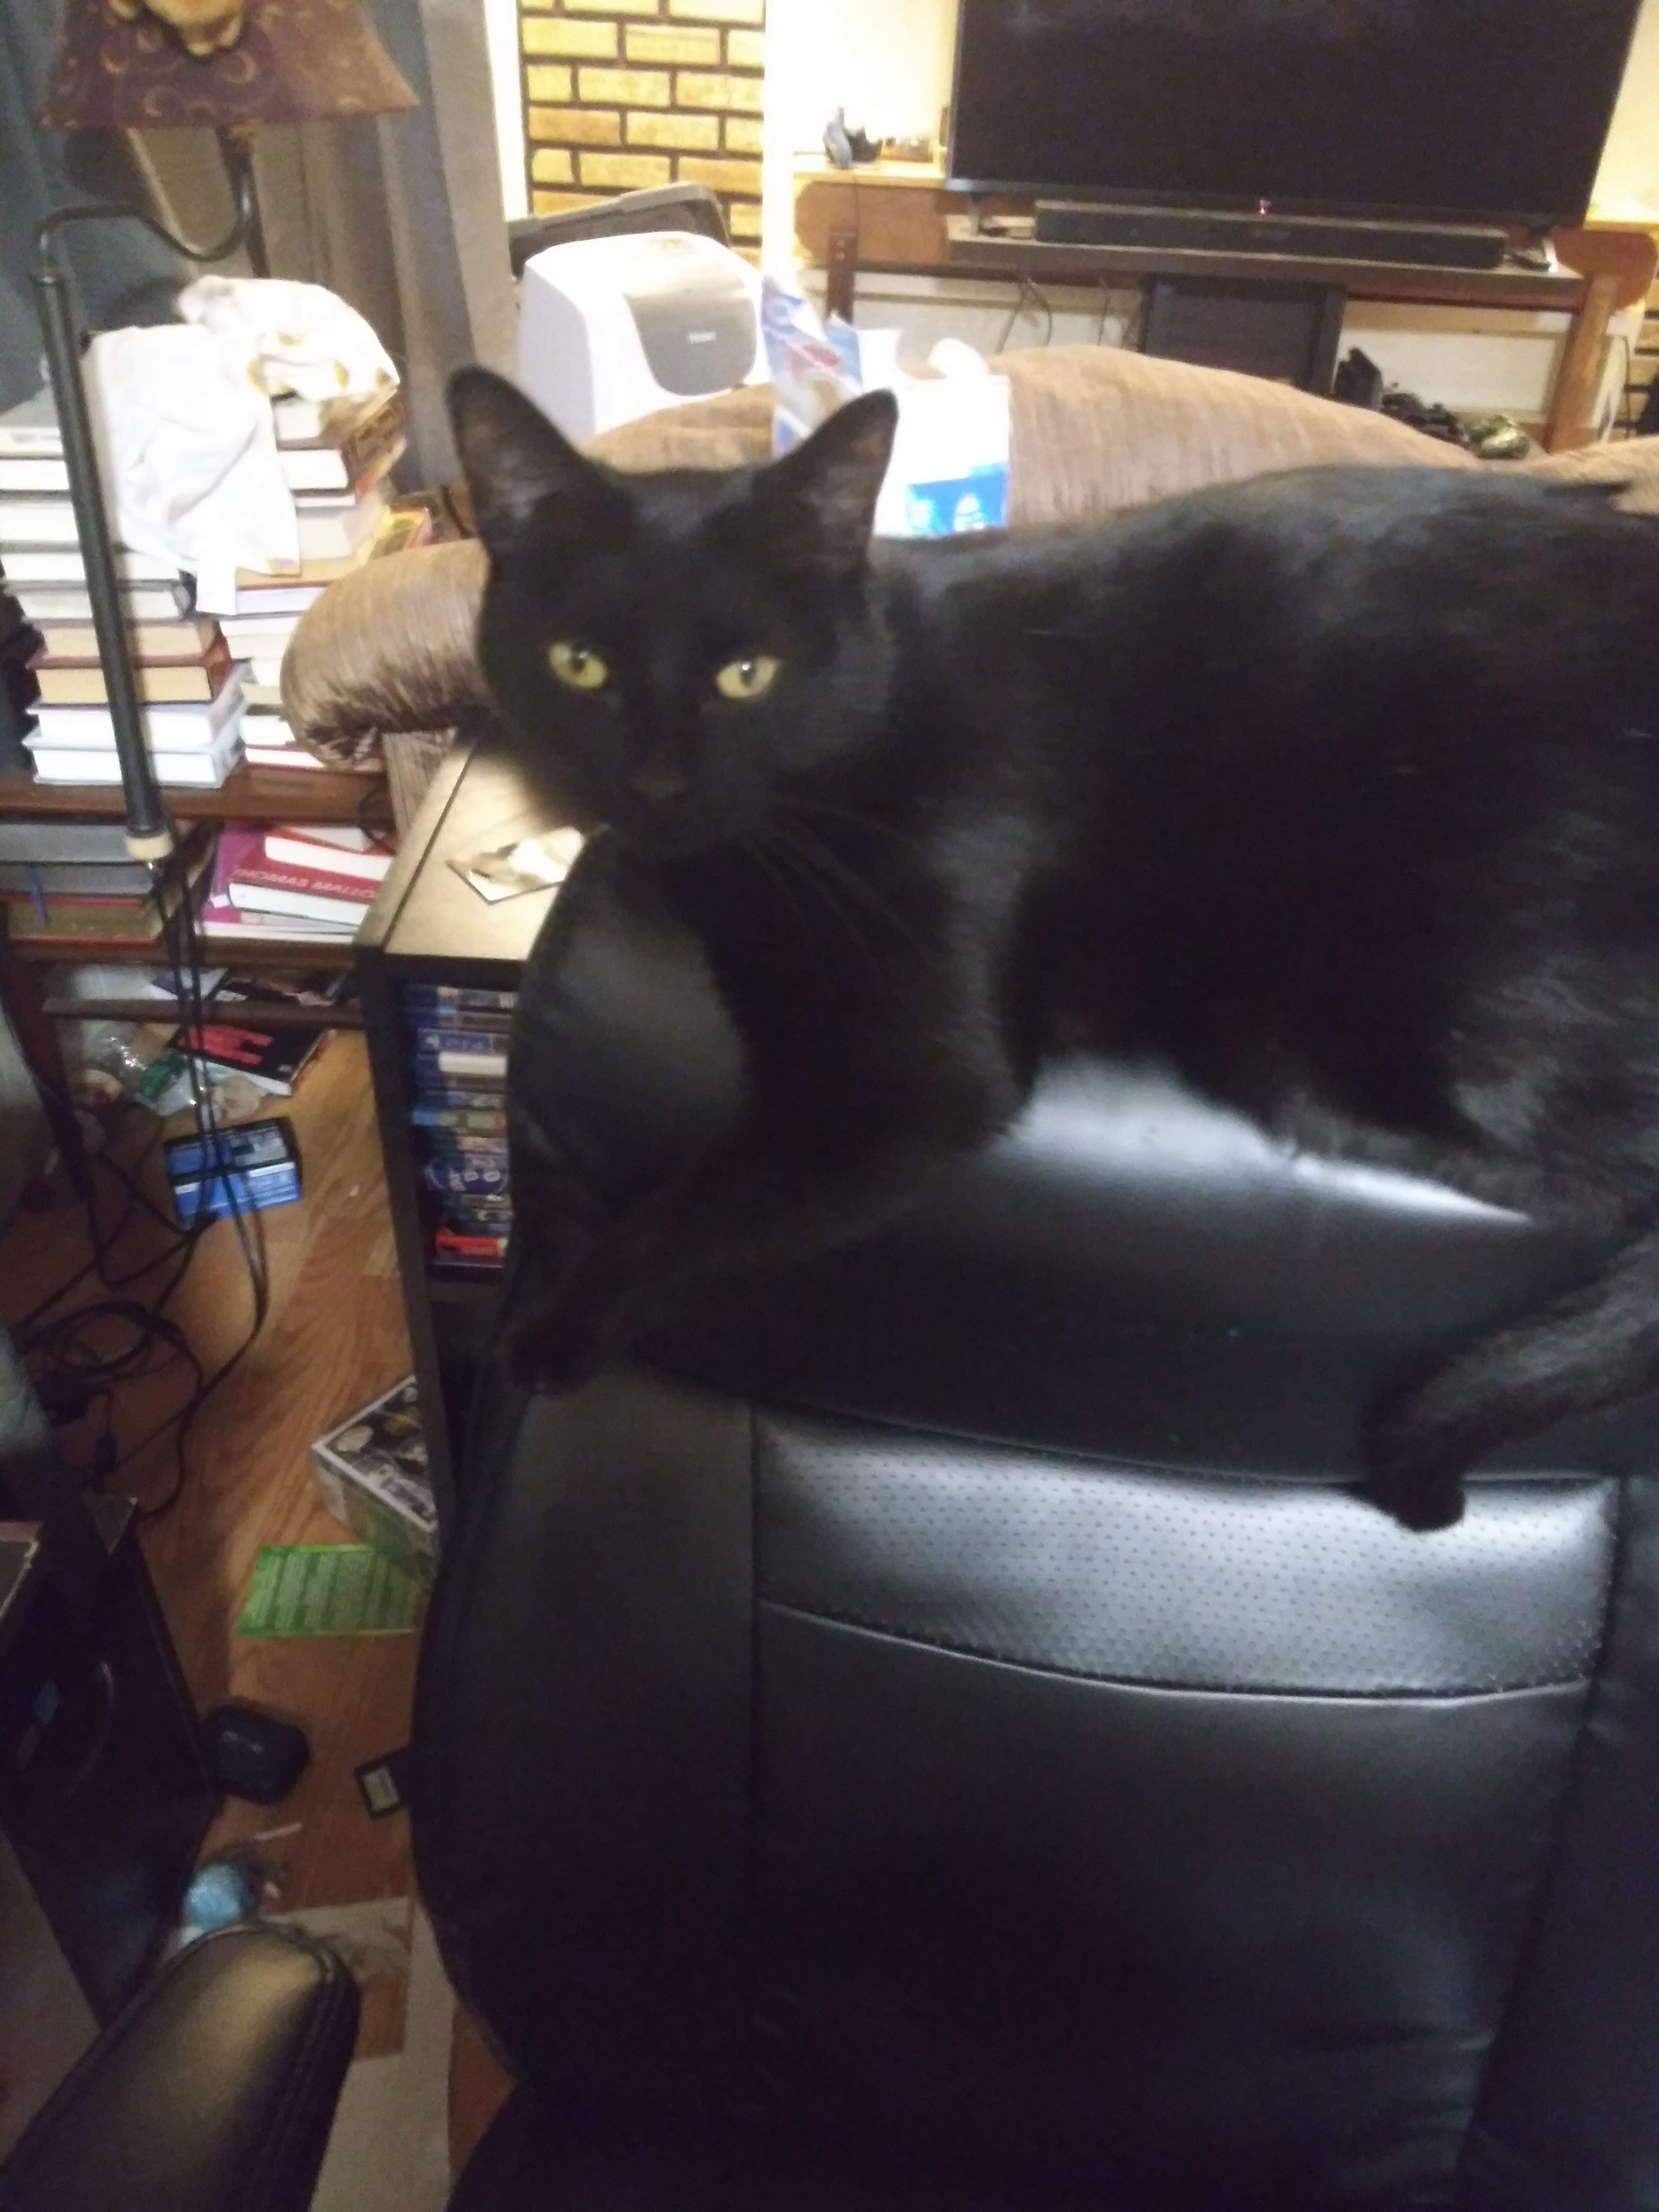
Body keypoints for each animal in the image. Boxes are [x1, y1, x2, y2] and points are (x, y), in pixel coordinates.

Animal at [449, 363, 1659, 1531]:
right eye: (578, 665)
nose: (652, 788)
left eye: (747, 675)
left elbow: (697, 1204)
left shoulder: (908, 1086)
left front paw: (551, 1330)